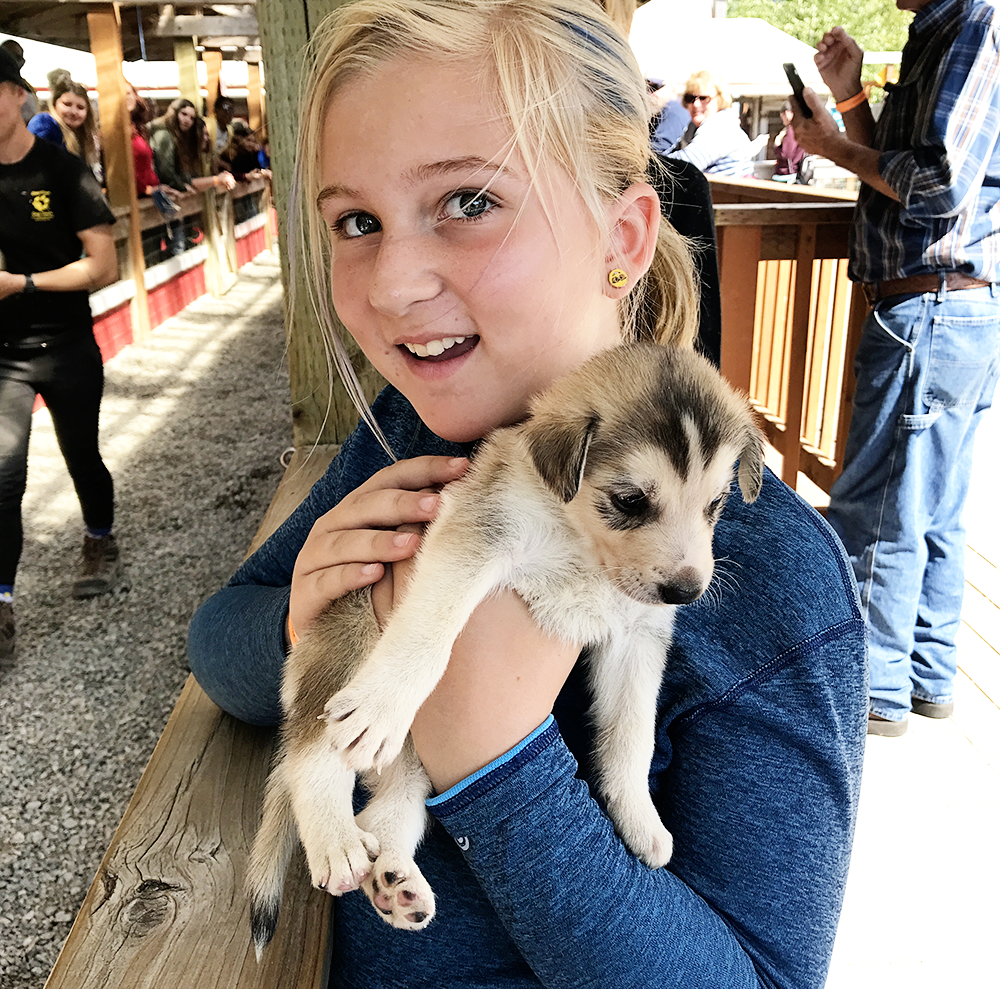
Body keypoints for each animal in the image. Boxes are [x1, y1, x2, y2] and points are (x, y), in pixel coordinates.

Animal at [246, 344, 760, 952]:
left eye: (718, 502)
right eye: (630, 500)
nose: (686, 590)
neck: (578, 541)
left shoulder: (637, 639)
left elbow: (633, 735)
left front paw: (640, 818)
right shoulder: (477, 536)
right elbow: (428, 629)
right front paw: (382, 704)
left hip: (416, 761)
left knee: (389, 810)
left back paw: (395, 881)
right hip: (349, 639)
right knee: (309, 759)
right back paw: (336, 842)